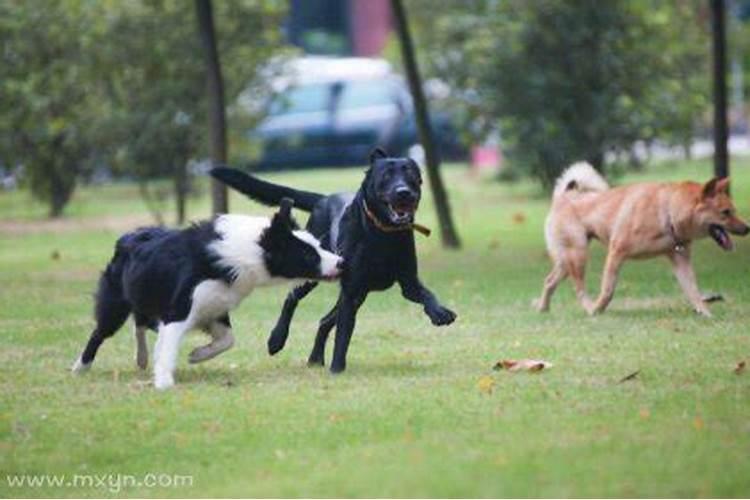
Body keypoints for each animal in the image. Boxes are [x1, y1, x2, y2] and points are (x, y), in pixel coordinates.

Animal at [72, 200, 342, 390]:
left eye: (319, 245)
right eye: (308, 255)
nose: (342, 262)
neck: (245, 252)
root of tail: (128, 236)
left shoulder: (215, 306)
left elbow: (228, 340)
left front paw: (197, 355)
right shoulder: (179, 308)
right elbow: (169, 345)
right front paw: (164, 381)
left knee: (141, 322)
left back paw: (142, 358)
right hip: (116, 304)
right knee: (100, 333)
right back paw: (80, 367)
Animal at [212, 146, 458, 374]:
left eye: (412, 176)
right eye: (386, 176)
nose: (403, 192)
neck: (382, 234)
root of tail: (324, 199)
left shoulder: (407, 283)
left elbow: (427, 294)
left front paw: (439, 313)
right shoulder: (351, 291)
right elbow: (343, 335)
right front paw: (337, 369)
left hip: (359, 293)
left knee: (325, 321)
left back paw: (315, 359)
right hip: (315, 272)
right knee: (292, 298)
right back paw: (276, 339)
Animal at [536, 162, 748, 314]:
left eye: (734, 210)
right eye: (726, 212)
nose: (748, 228)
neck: (667, 211)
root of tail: (564, 196)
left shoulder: (681, 260)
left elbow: (693, 291)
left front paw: (705, 312)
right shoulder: (616, 253)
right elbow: (608, 290)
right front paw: (599, 308)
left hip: (566, 260)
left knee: (549, 281)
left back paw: (543, 308)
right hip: (578, 255)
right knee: (579, 288)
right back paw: (589, 308)